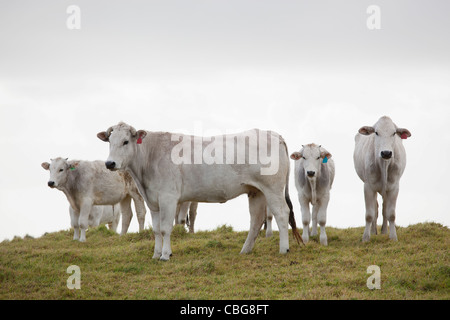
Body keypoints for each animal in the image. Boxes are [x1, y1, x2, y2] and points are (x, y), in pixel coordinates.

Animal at [98, 122, 302, 260]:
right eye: (110, 141)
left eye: (125, 141)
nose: (110, 163)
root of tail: (274, 134)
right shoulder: (152, 201)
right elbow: (156, 230)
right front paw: (156, 254)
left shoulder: (168, 198)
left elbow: (165, 228)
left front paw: (165, 255)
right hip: (256, 191)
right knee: (256, 220)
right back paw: (245, 250)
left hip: (272, 188)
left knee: (282, 213)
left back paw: (284, 249)